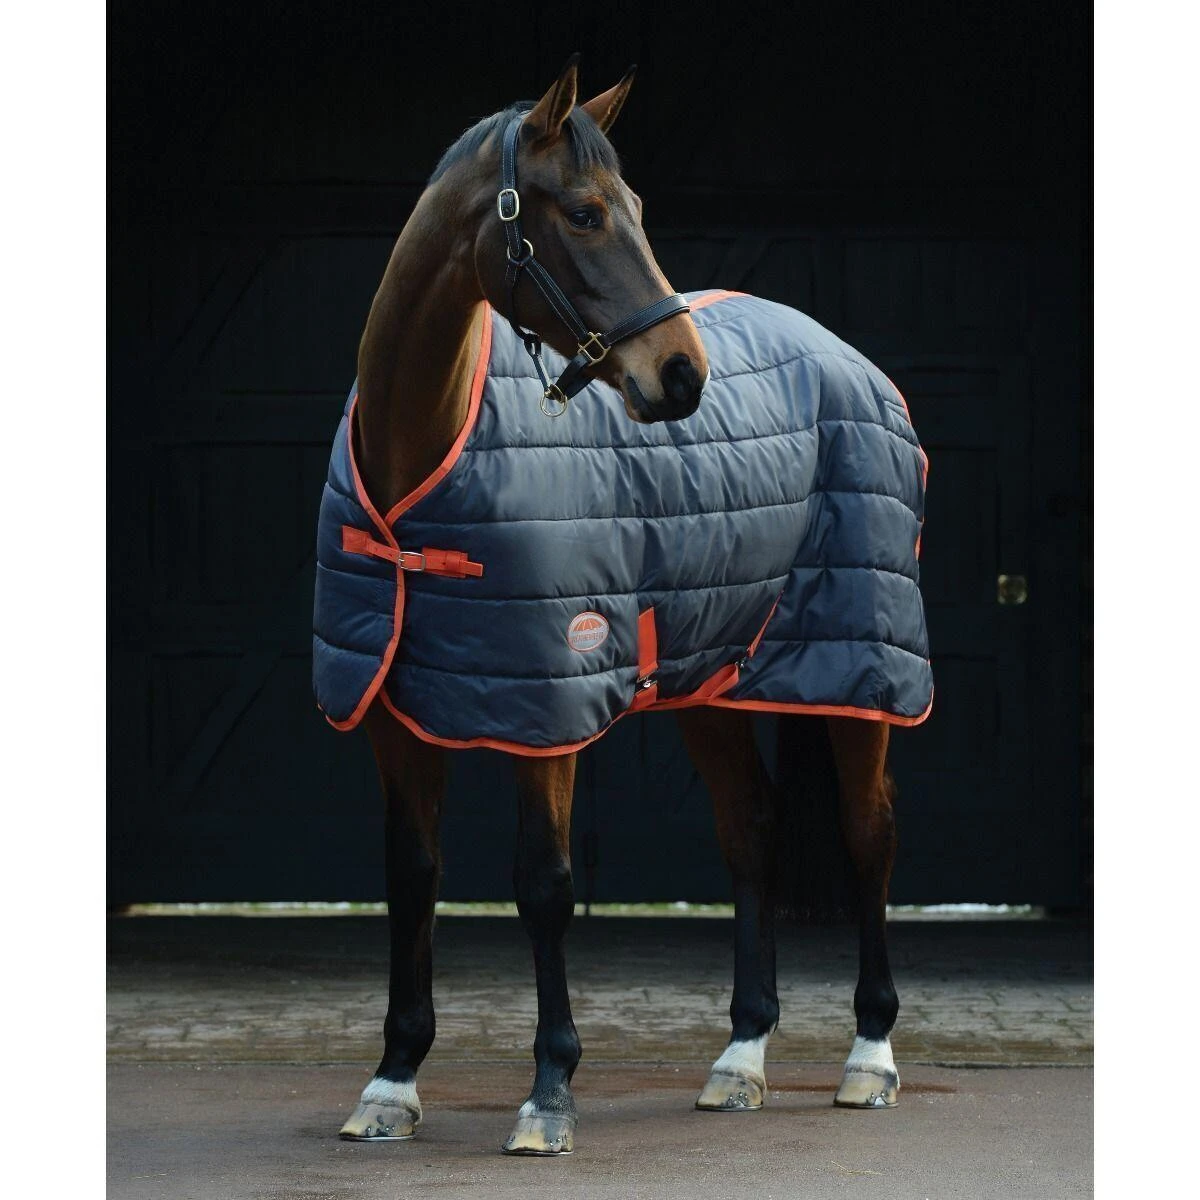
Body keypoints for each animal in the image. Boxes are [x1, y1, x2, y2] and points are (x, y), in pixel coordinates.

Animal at [313, 56, 927, 1156]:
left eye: (637, 207)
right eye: (588, 212)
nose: (682, 376)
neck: (419, 460)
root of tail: (853, 363)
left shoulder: (548, 708)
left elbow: (546, 888)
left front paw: (549, 1093)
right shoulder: (392, 711)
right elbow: (412, 877)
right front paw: (392, 1081)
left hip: (860, 673)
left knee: (870, 835)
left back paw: (869, 1057)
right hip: (713, 682)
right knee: (751, 829)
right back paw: (741, 1059)